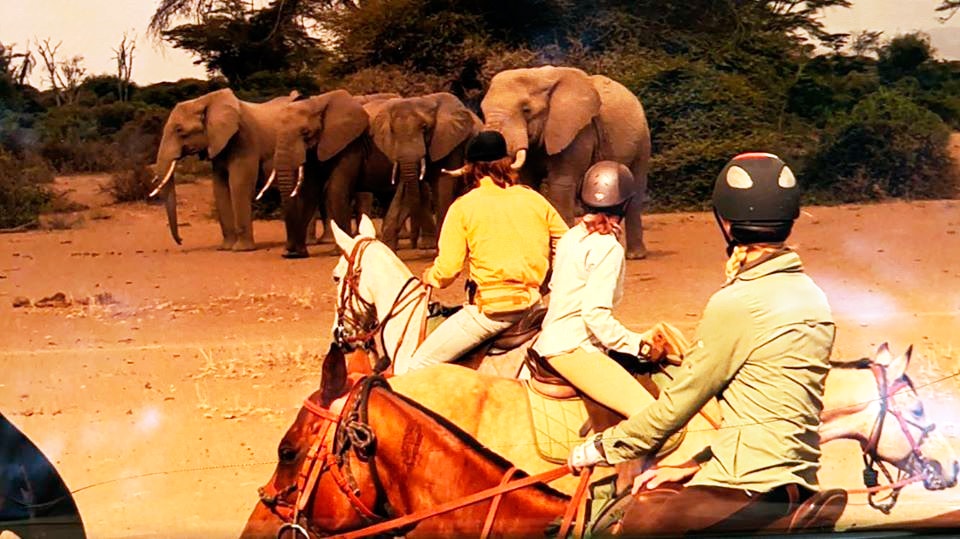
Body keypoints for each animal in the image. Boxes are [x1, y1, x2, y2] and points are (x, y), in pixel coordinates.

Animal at [150, 87, 298, 251]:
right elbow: (220, 188)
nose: (181, 240)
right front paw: (226, 248)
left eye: (179, 130)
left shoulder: (244, 139)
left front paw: (242, 249)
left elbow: (238, 185)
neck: (205, 100)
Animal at [270, 90, 402, 260]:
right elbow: (309, 193)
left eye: (305, 133)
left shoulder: (350, 146)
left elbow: (335, 190)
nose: (288, 252)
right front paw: (297, 254)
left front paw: (342, 253)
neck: (317, 102)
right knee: (388, 197)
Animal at [372, 93, 484, 251]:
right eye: (392, 130)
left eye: (425, 128)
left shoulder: (449, 142)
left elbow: (443, 186)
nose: (414, 245)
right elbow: (406, 188)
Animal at [480, 65, 652, 260]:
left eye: (526, 110)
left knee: (636, 189)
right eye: (482, 112)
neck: (538, 76)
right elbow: (528, 183)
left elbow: (560, 184)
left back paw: (635, 255)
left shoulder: (577, 132)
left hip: (642, 139)